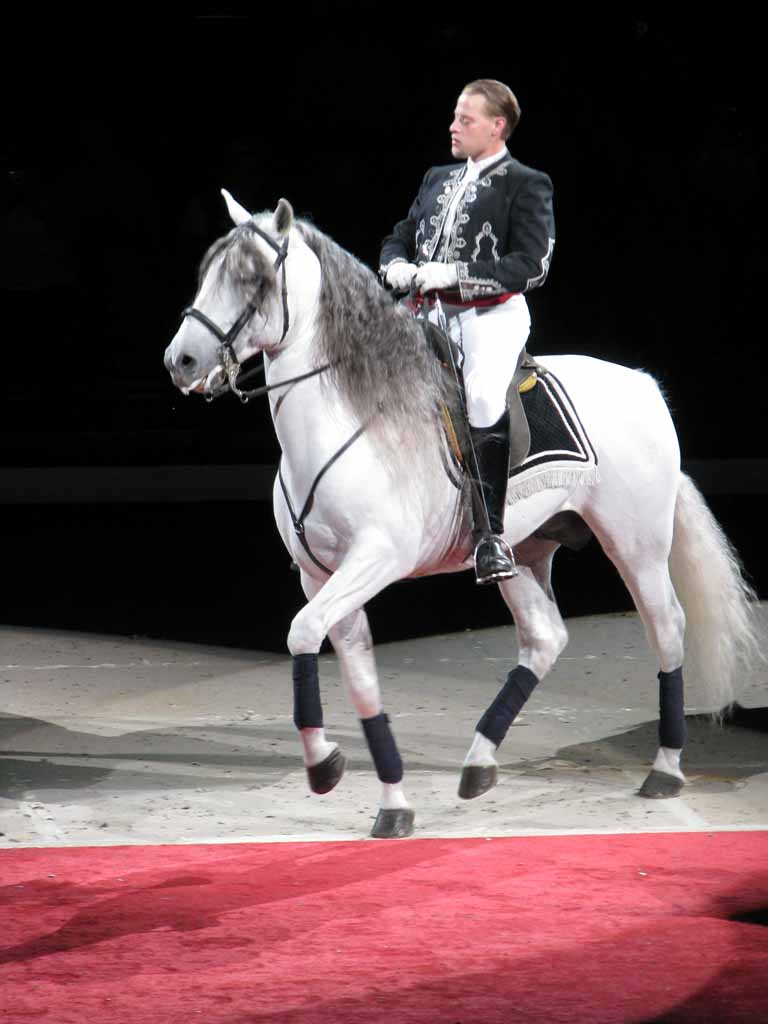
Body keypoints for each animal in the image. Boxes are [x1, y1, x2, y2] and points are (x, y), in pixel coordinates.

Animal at [163, 193, 765, 839]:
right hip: (524, 550)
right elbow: (358, 677)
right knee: (544, 638)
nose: (181, 360)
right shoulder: (319, 575)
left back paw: (665, 769)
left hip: (637, 543)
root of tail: (645, 384)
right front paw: (392, 804)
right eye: (209, 272)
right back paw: (479, 764)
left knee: (667, 627)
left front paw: (324, 767)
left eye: (254, 278)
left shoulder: (375, 560)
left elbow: (301, 631)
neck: (349, 416)